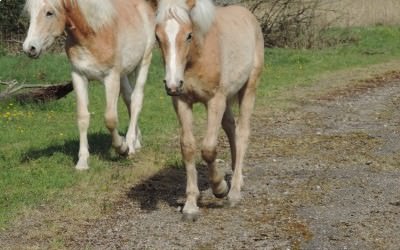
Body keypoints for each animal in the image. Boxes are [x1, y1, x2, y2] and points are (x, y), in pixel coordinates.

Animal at [22, 0, 156, 170]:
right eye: (29, 13)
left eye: (49, 13)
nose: (29, 48)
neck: (94, 34)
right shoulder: (79, 76)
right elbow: (82, 117)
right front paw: (82, 162)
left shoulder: (111, 78)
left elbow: (110, 119)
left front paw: (122, 147)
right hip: (125, 73)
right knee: (129, 99)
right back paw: (136, 142)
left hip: (143, 62)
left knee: (136, 100)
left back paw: (130, 145)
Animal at [155, 0, 264, 219]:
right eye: (157, 37)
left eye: (189, 35)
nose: (172, 85)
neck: (199, 56)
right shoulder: (181, 101)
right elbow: (188, 147)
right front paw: (190, 206)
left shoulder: (215, 100)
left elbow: (208, 149)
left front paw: (220, 188)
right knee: (231, 128)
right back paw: (236, 175)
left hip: (249, 88)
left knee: (242, 133)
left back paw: (235, 191)